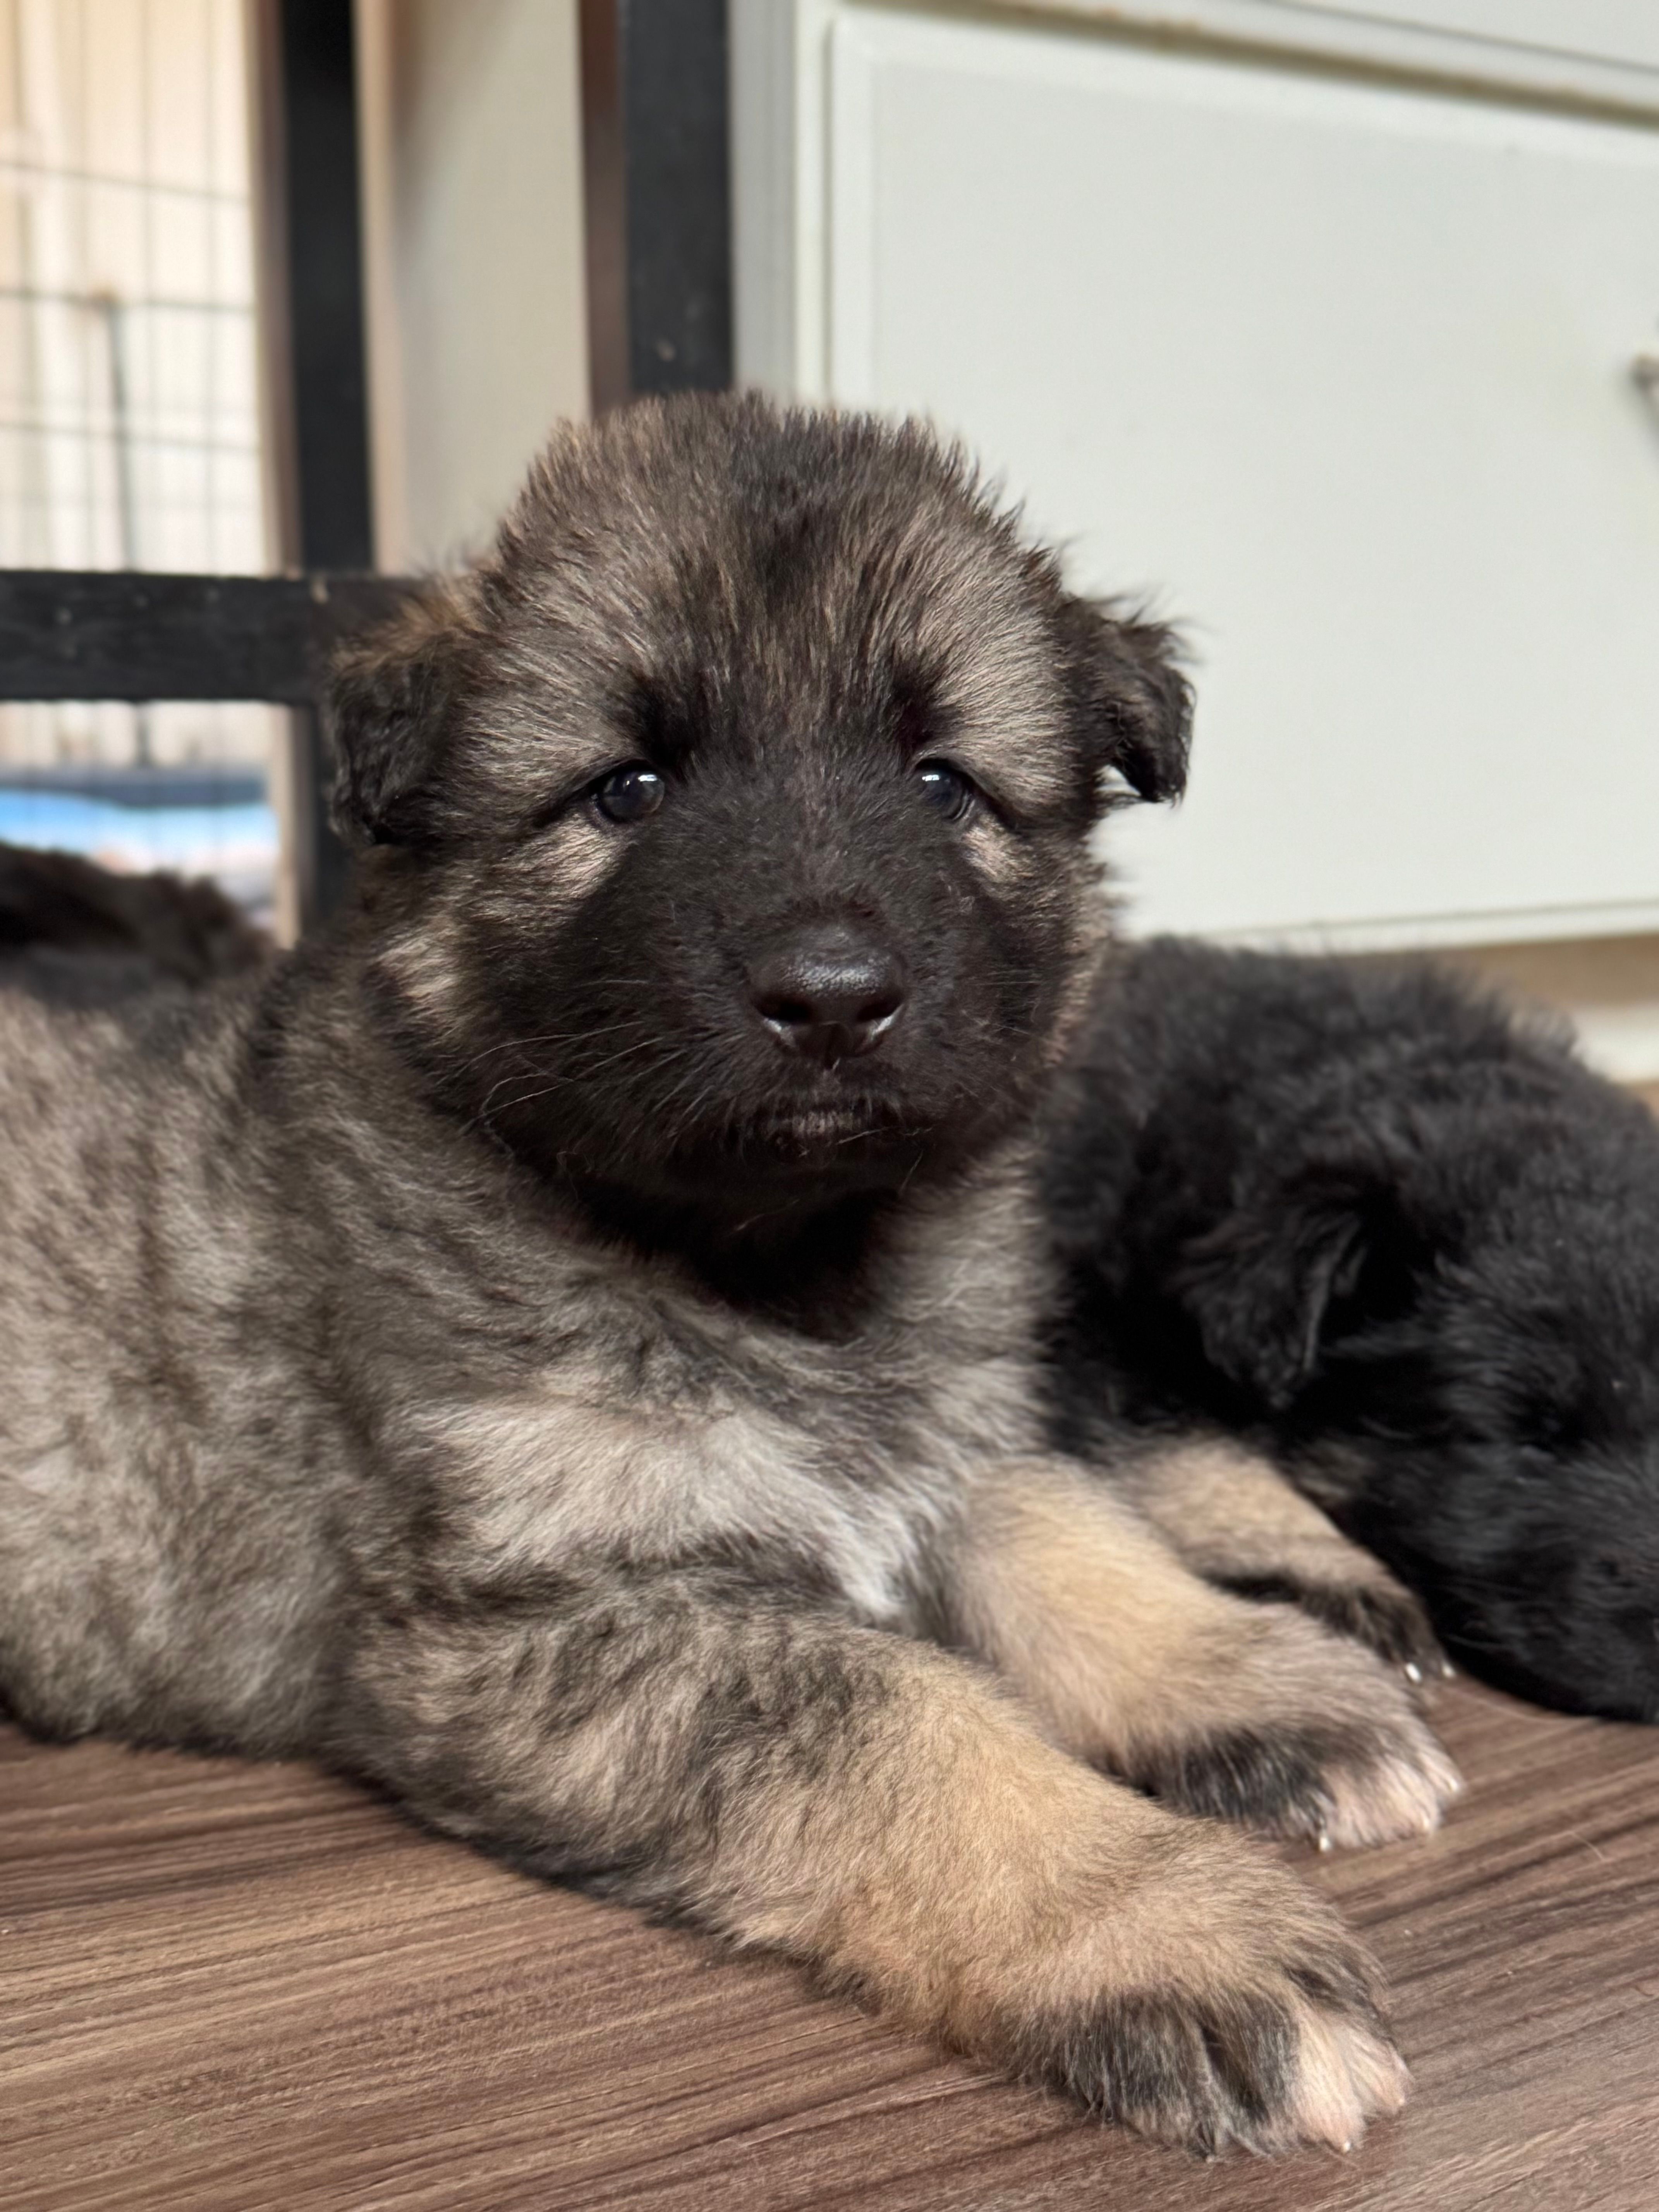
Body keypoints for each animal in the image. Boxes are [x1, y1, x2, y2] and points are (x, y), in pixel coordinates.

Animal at [0, 396, 1459, 2155]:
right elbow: (899, 1715)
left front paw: (1258, 1686)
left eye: (941, 781)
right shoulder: (536, 1618)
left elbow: (1076, 1533)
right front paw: (1164, 1925)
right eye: (627, 788)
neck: (779, 1272)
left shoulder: (941, 1447)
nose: (832, 994)